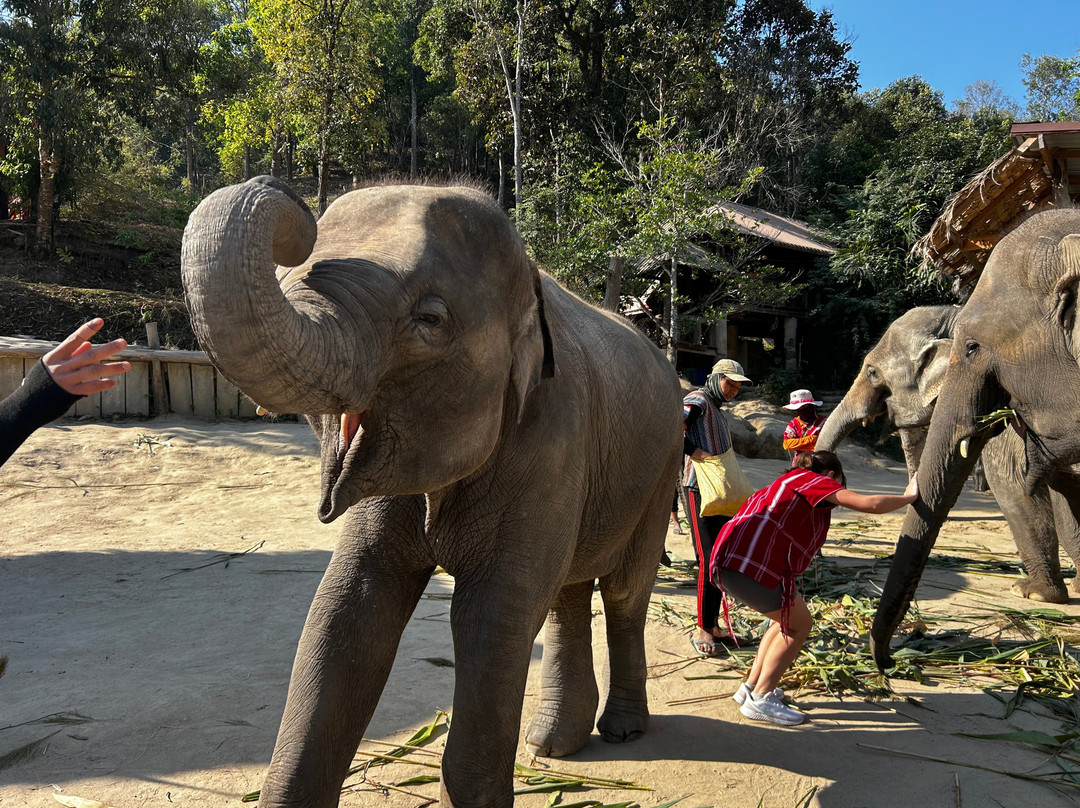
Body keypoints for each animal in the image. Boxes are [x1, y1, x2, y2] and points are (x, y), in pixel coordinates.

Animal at [180, 176, 683, 808]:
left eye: (430, 318)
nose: (277, 188)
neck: (532, 287)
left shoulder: (552, 440)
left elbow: (493, 617)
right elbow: (347, 610)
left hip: (663, 466)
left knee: (622, 591)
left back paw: (619, 730)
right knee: (568, 593)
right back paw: (552, 745)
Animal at [817, 305, 1080, 603]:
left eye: (872, 372)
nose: (823, 557)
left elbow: (1012, 485)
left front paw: (1031, 593)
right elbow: (1063, 493)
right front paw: (1073, 587)